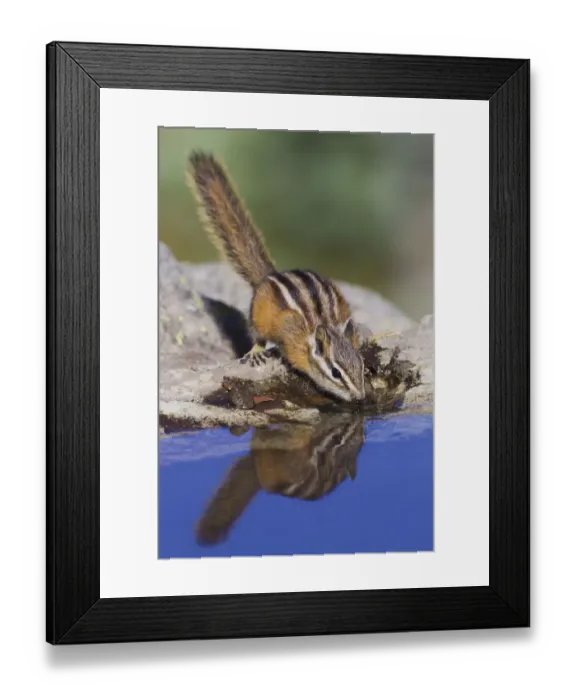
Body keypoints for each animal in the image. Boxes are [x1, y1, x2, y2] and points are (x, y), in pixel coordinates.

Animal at [186, 151, 366, 404]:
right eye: (335, 373)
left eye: (361, 365)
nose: (360, 397)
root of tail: (270, 275)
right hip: (257, 317)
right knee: (257, 335)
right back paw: (257, 352)